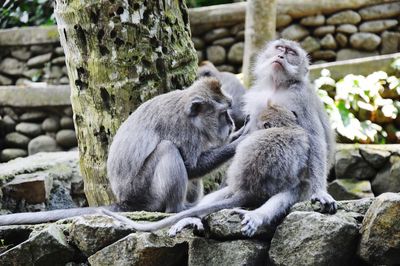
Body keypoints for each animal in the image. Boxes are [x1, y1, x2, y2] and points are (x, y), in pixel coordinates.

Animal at [0, 77, 244, 224]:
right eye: (224, 113)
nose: (232, 124)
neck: (190, 115)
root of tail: (127, 202)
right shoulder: (183, 131)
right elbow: (192, 167)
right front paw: (237, 142)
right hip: (144, 192)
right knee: (167, 149)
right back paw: (177, 209)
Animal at [244, 38, 338, 213]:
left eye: (291, 53)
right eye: (280, 48)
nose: (281, 55)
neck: (277, 86)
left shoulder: (302, 97)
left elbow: (314, 139)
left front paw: (320, 192)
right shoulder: (256, 98)